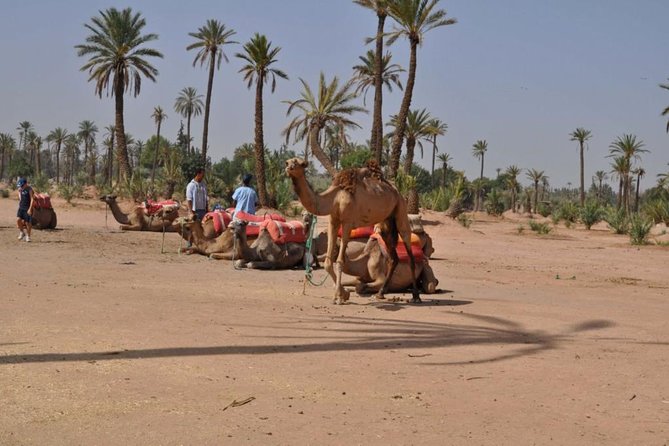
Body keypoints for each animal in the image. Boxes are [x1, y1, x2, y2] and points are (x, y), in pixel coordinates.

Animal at [284, 157, 420, 304]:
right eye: (287, 162)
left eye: (299, 163)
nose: (288, 168)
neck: (335, 197)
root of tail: (397, 192)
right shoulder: (333, 220)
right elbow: (327, 263)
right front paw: (344, 294)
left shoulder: (347, 222)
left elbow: (340, 261)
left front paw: (338, 297)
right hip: (386, 223)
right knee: (393, 258)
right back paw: (380, 294)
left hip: (401, 210)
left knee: (409, 249)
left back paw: (416, 296)